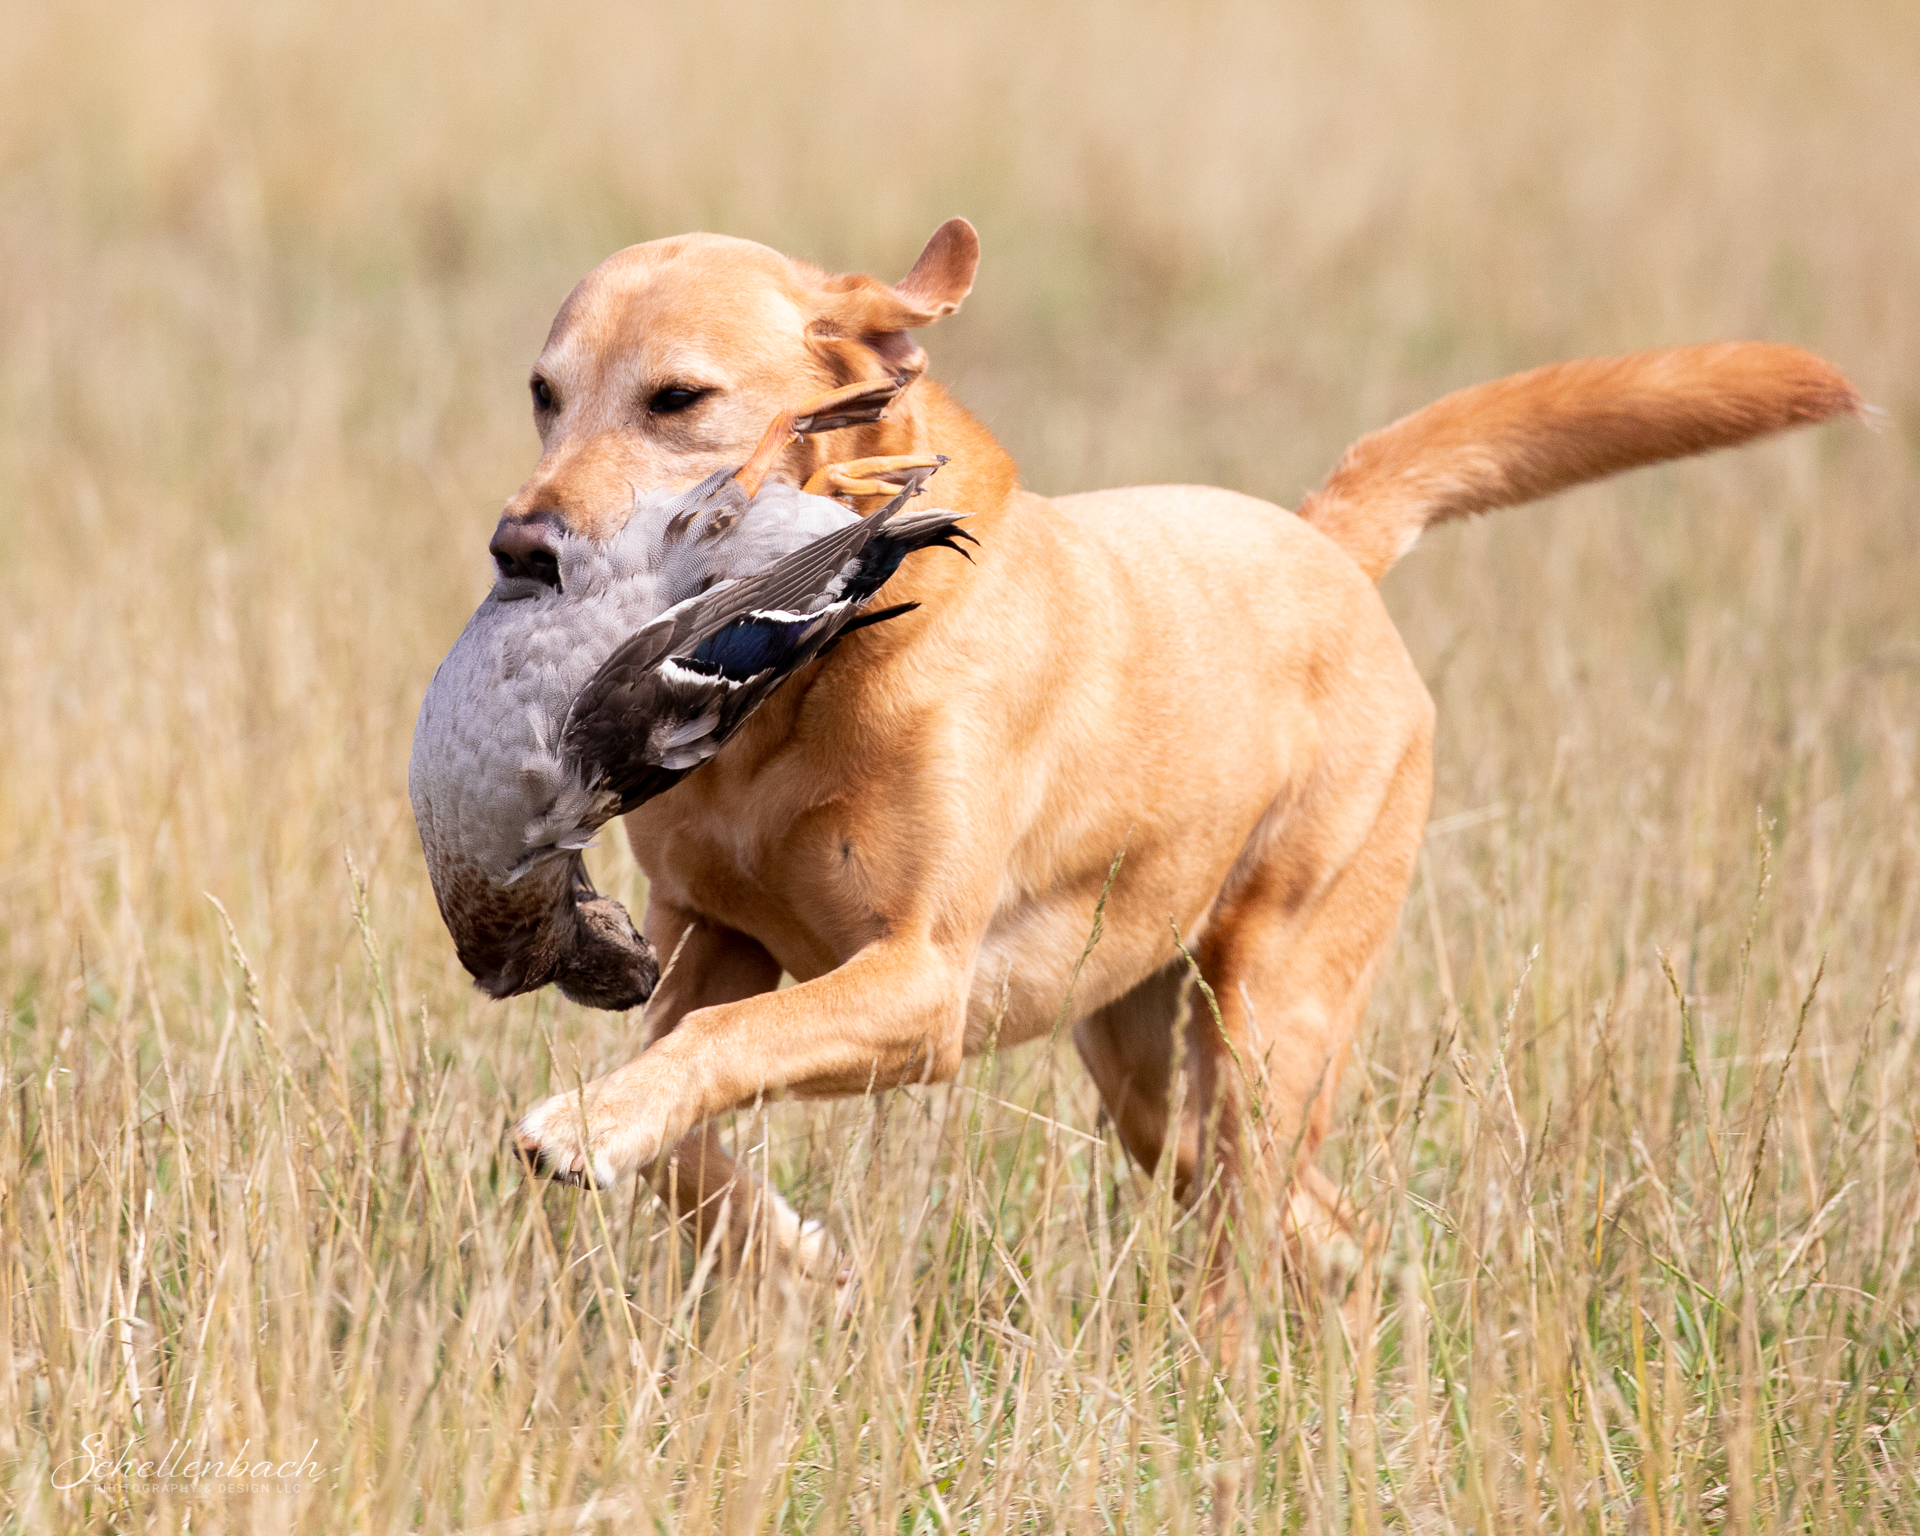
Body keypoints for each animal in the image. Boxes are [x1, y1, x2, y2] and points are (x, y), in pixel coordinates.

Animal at [492, 218, 1858, 1309]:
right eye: (544, 393)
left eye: (678, 398)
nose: (521, 547)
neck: (801, 680)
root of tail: (1327, 546)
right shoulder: (708, 933)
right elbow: (683, 1109)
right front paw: (780, 1247)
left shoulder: (923, 987)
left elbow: (725, 1046)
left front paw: (596, 1130)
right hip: (1149, 1065)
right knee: (1317, 1226)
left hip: (1272, 1014)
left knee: (1253, 1237)